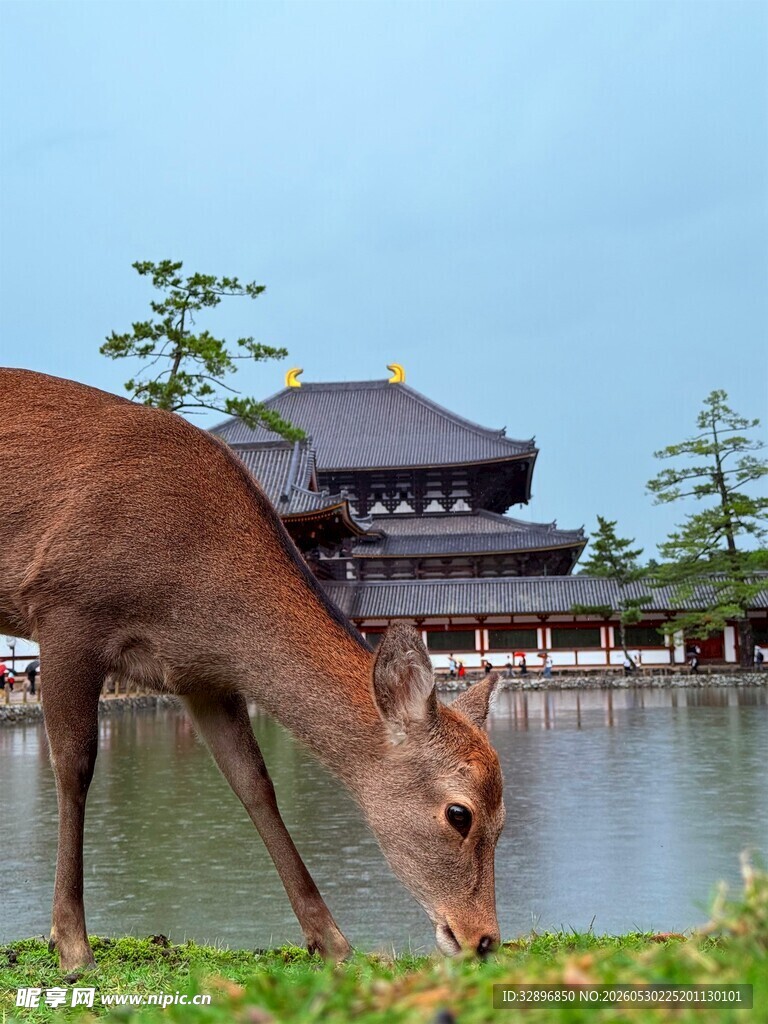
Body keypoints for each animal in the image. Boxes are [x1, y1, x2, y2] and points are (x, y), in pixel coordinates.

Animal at [0, 367, 505, 972]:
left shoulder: (200, 678)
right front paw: (72, 945)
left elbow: (254, 784)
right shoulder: (65, 611)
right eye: (460, 813)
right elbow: (74, 767)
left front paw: (333, 941)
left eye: (504, 819)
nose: (484, 939)